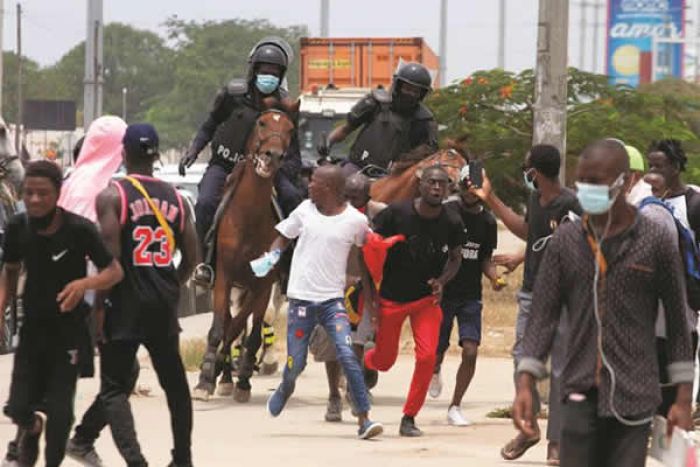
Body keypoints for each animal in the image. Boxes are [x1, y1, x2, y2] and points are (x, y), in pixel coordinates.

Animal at [194, 106, 298, 402]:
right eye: (261, 123)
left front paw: (239, 379)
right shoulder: (224, 277)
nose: (272, 156)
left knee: (243, 327)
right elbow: (221, 328)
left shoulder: (262, 284)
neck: (249, 218)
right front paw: (206, 377)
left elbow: (244, 330)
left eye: (290, 129)